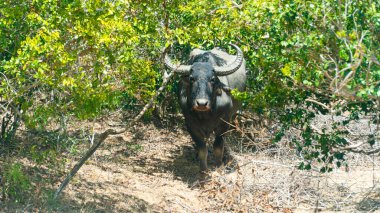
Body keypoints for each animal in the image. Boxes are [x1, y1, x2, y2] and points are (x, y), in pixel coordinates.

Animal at [166, 44, 248, 177]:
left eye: (212, 79)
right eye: (192, 78)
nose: (201, 103)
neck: (205, 114)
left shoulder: (224, 123)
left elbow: (218, 146)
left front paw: (219, 167)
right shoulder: (191, 124)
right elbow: (202, 149)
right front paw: (203, 172)